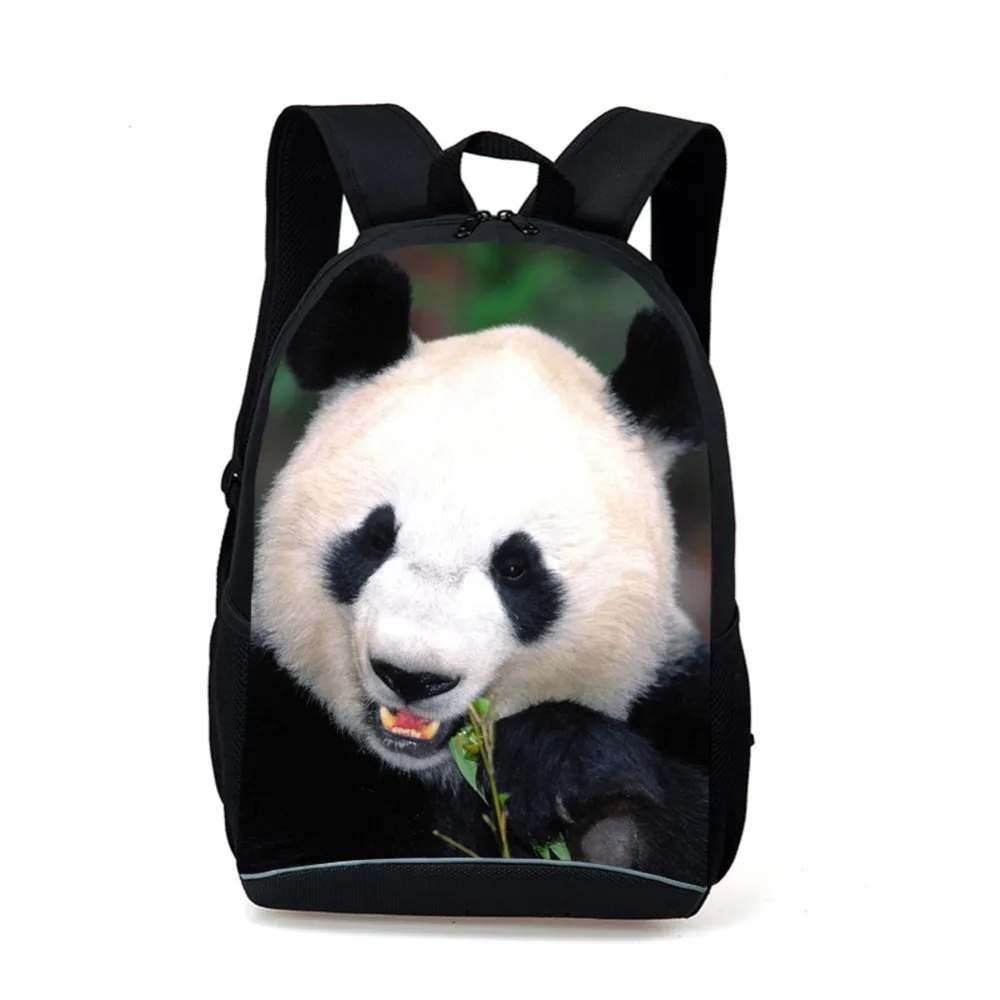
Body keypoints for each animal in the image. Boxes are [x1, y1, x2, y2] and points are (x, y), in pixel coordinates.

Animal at [249, 254, 710, 884]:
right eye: (376, 538)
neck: (426, 772)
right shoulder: (277, 714)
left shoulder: (672, 689)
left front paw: (563, 771)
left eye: (515, 569)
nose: (412, 676)